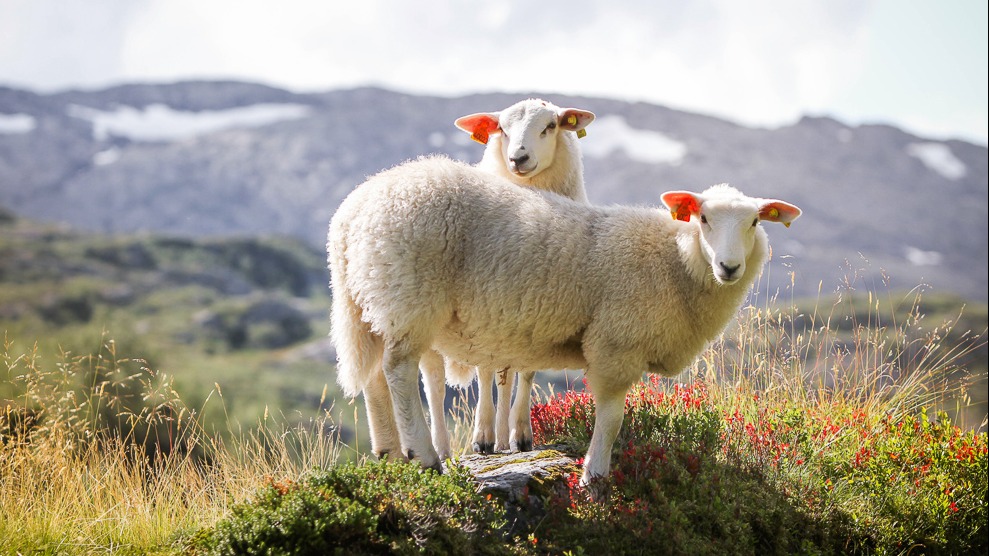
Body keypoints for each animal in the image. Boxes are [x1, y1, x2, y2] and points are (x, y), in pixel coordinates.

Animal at [328, 155, 800, 482]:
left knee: (375, 376)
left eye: (754, 221)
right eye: (703, 218)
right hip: (409, 294)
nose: (729, 267)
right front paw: (596, 474)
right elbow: (611, 417)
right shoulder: (616, 344)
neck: (674, 261)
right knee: (399, 371)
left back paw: (388, 452)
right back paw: (423, 457)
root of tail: (350, 213)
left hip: (373, 299)